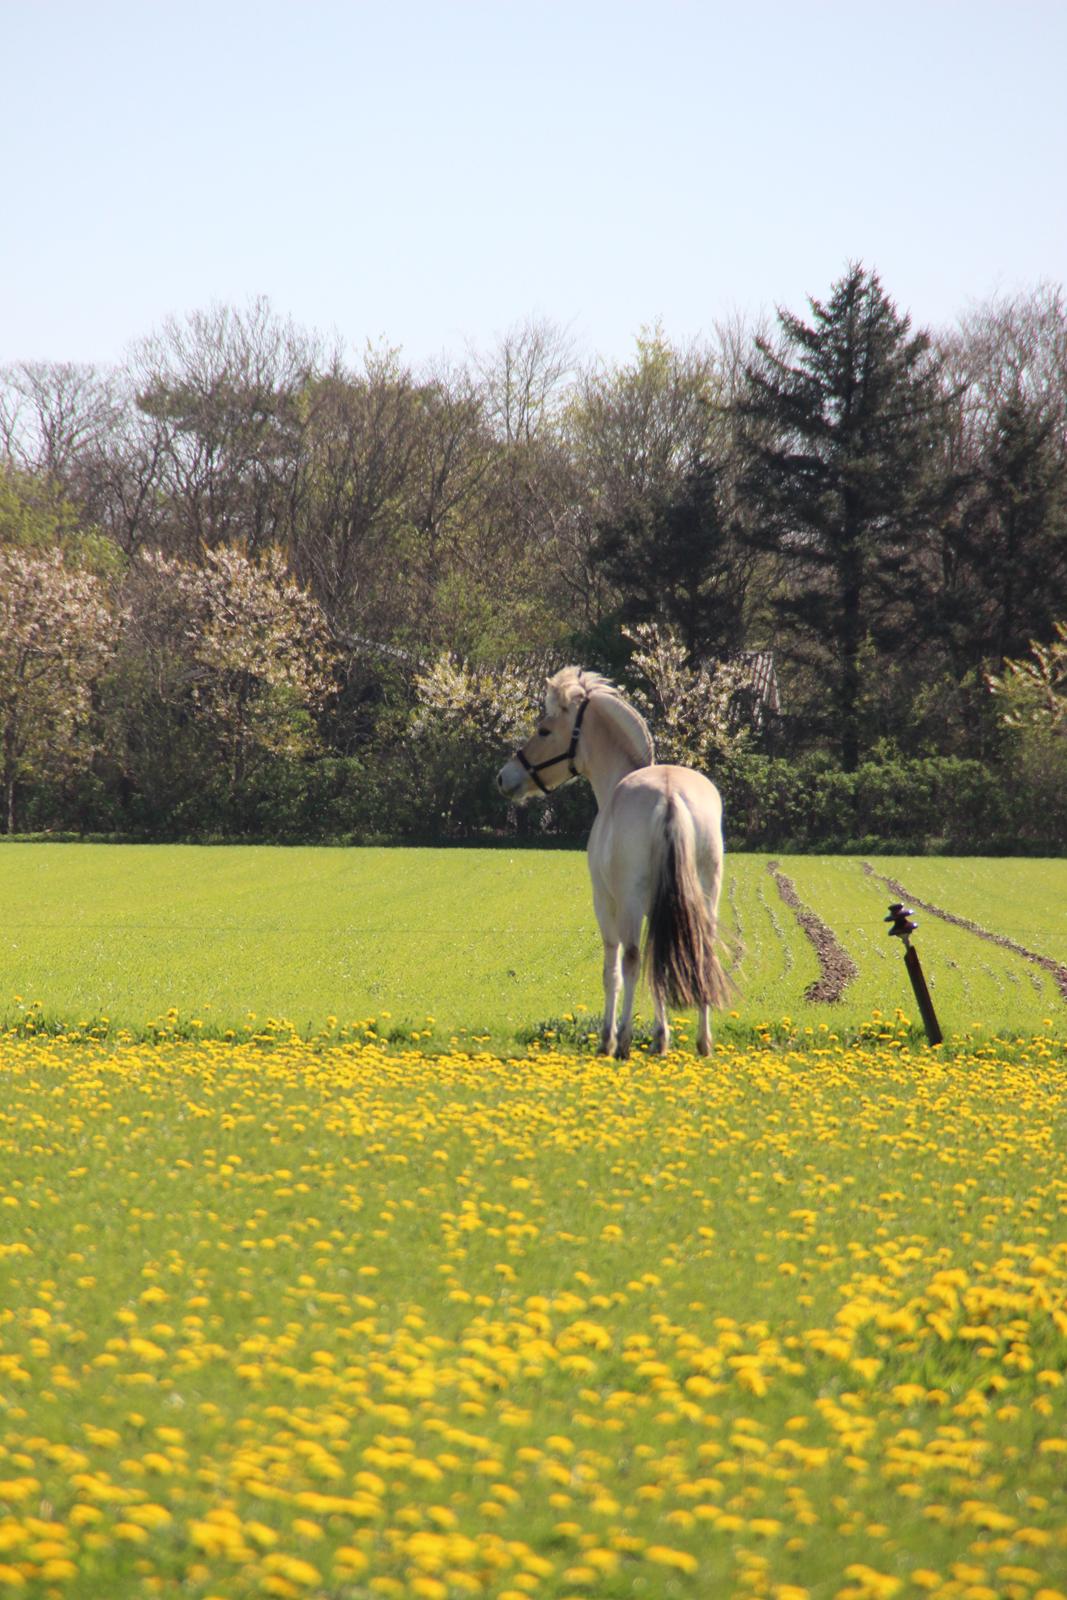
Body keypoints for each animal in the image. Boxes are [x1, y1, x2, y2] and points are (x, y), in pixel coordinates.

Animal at [495, 665, 729, 1056]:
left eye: (544, 730)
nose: (504, 777)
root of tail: (669, 794)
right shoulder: (658, 908)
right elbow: (657, 963)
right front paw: (661, 1036)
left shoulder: (606, 904)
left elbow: (614, 970)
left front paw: (610, 1037)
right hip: (704, 897)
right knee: (699, 953)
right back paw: (703, 1041)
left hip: (629, 903)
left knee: (631, 959)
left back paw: (623, 1043)